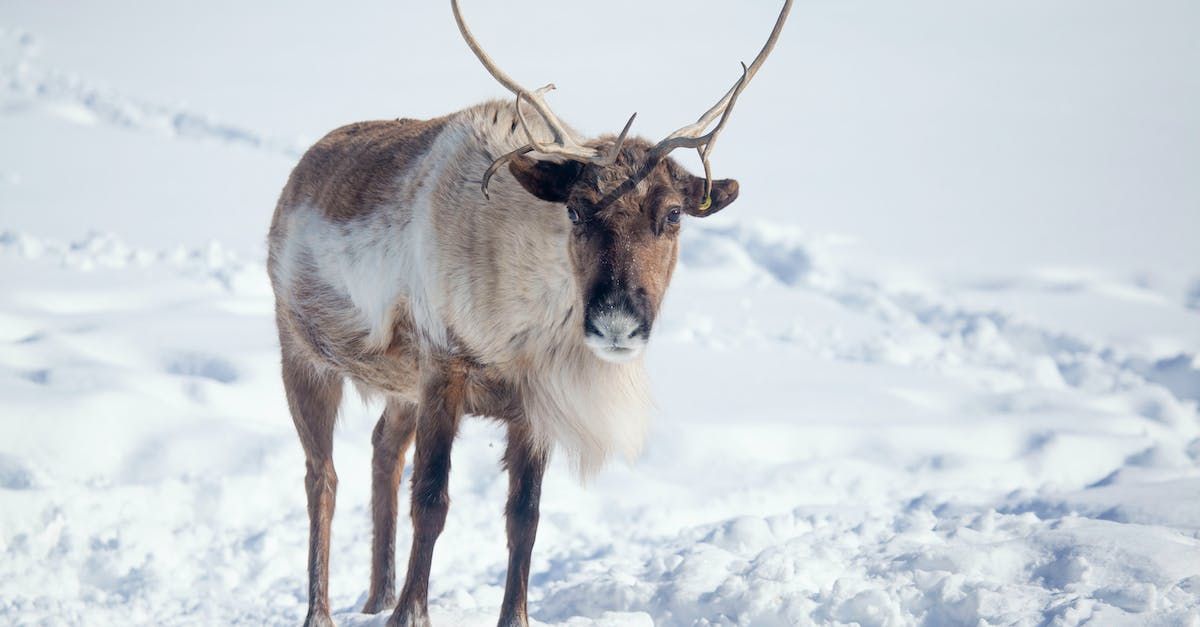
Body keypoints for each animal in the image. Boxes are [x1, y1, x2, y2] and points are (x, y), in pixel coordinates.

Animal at [267, 1, 792, 625]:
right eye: (577, 209)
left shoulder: (532, 403)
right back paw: (322, 610)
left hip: (396, 385)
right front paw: (411, 614)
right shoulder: (443, 367)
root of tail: (296, 177)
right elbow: (432, 501)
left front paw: (510, 614)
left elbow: (525, 516)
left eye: (672, 215)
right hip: (302, 354)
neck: (527, 323)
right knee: (321, 478)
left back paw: (376, 598)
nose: (616, 321)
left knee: (382, 452)